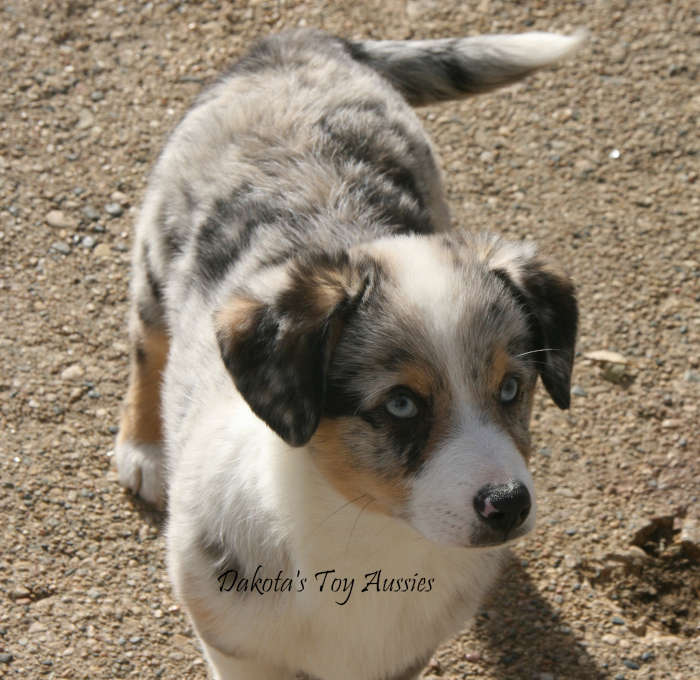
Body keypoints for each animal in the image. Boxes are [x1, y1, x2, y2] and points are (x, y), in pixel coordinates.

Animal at [115, 27, 580, 680]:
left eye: (512, 388)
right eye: (402, 404)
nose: (510, 505)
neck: (367, 538)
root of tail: (297, 43)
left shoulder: (405, 657)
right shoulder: (234, 646)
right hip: (155, 260)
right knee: (147, 343)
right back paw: (143, 449)